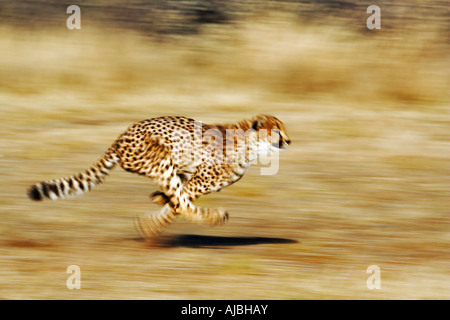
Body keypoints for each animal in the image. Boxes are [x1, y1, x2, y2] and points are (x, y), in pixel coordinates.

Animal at [27, 115, 292, 238]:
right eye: (277, 131)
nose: (289, 141)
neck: (250, 146)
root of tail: (120, 136)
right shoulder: (197, 181)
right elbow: (178, 204)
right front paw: (152, 222)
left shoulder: (191, 178)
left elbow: (174, 200)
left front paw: (157, 200)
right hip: (160, 159)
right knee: (181, 202)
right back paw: (215, 217)